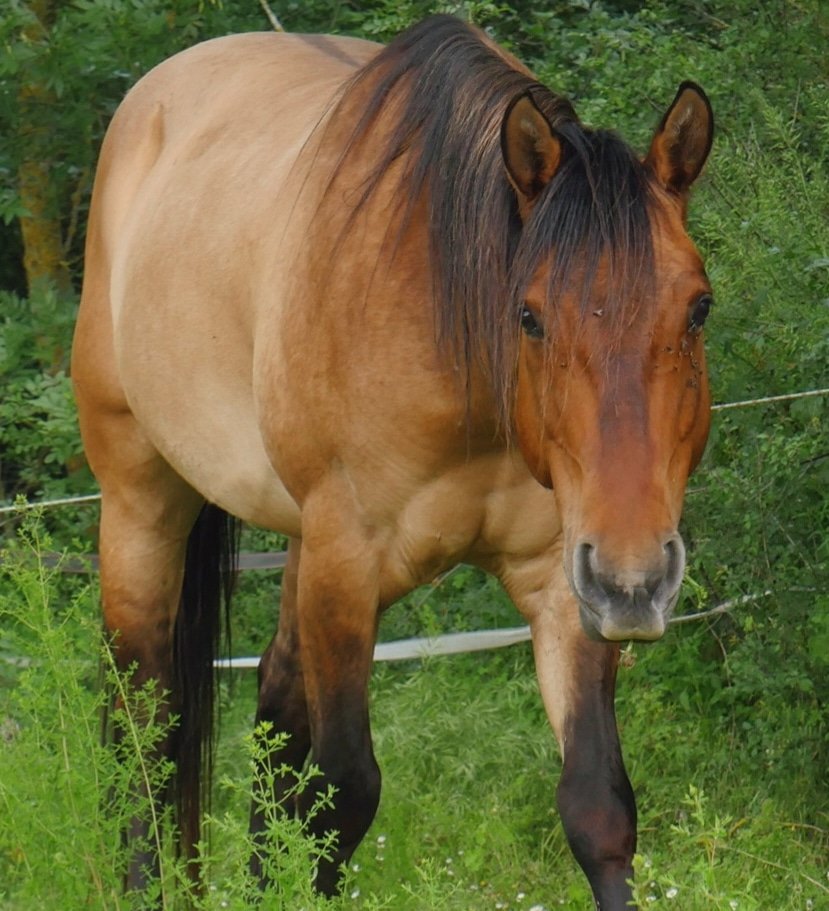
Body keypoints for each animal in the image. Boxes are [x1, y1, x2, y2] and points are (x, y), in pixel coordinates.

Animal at [71, 14, 714, 909]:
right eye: (528, 316)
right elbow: (343, 792)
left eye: (697, 307)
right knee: (147, 714)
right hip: (142, 496)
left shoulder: (564, 579)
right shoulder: (349, 563)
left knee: (273, 705)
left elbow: (598, 804)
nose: (635, 579)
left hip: (297, 537)